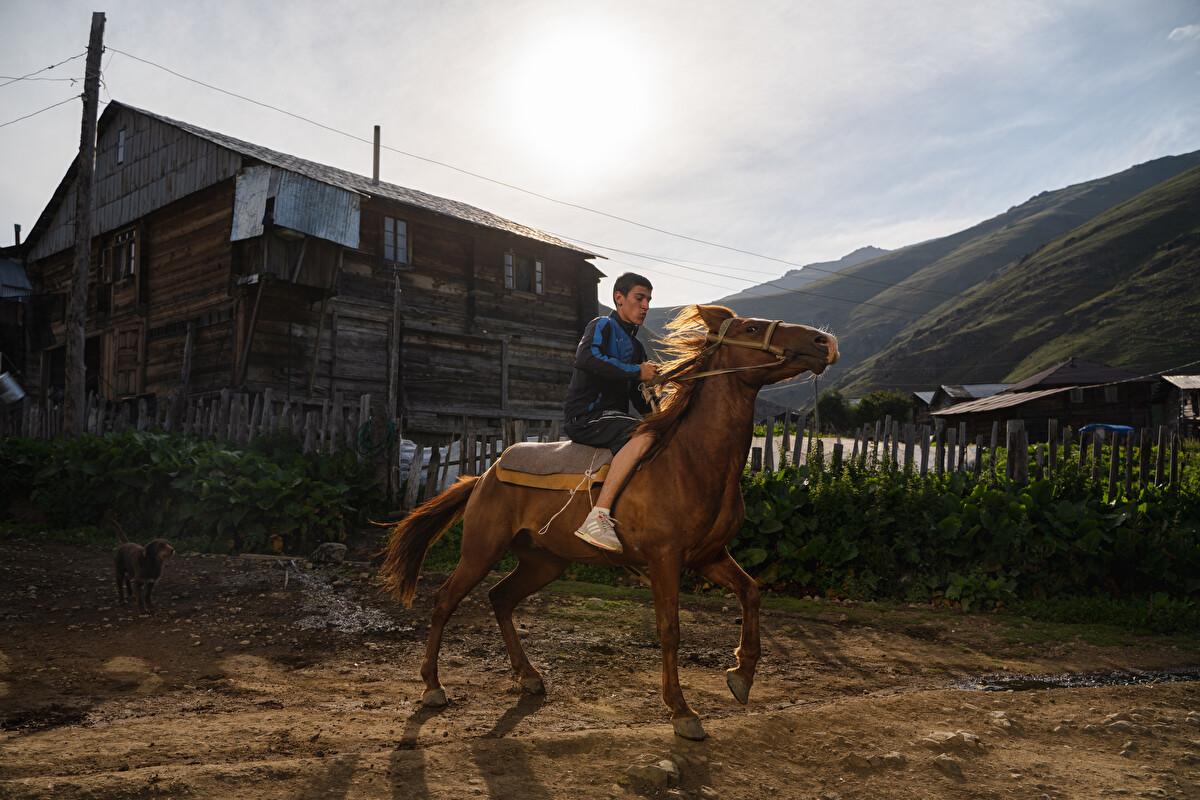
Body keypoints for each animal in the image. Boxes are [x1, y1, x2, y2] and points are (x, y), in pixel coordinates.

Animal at [379, 303, 840, 743]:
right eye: (751, 329)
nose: (824, 341)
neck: (691, 460)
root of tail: (485, 474)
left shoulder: (709, 556)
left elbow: (751, 592)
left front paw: (741, 675)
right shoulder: (665, 560)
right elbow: (670, 629)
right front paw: (681, 711)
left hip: (544, 562)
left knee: (501, 599)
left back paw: (529, 677)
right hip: (480, 551)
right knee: (444, 602)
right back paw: (432, 686)